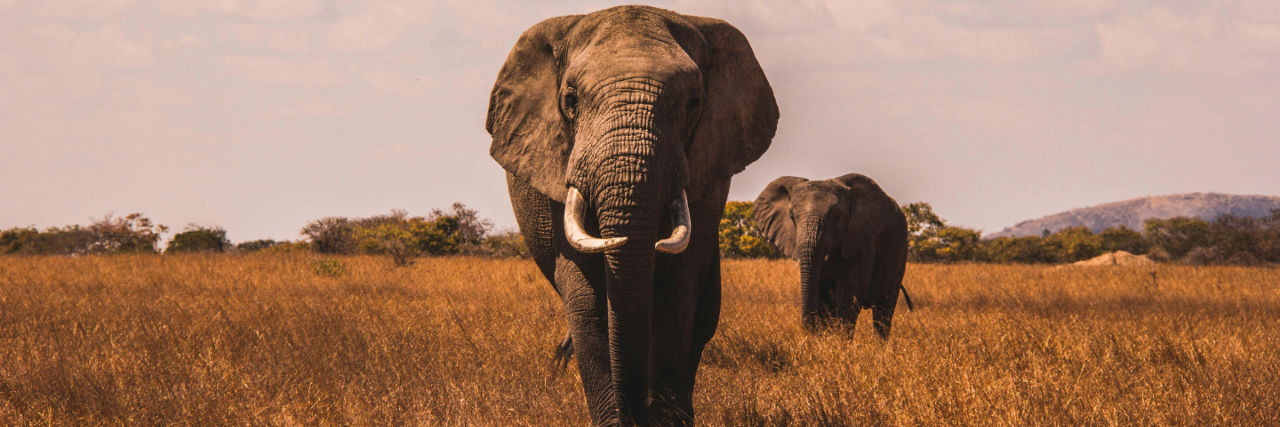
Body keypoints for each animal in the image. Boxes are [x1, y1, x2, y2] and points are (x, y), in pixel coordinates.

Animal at [485, 6, 778, 425]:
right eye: (570, 100)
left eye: (694, 102)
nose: (638, 413)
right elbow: (587, 301)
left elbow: (678, 294)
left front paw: (665, 420)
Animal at [752, 174, 914, 337]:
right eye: (791, 217)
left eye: (837, 216)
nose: (809, 331)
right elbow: (823, 298)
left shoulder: (863, 240)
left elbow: (849, 297)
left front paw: (840, 342)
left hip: (899, 250)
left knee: (883, 310)